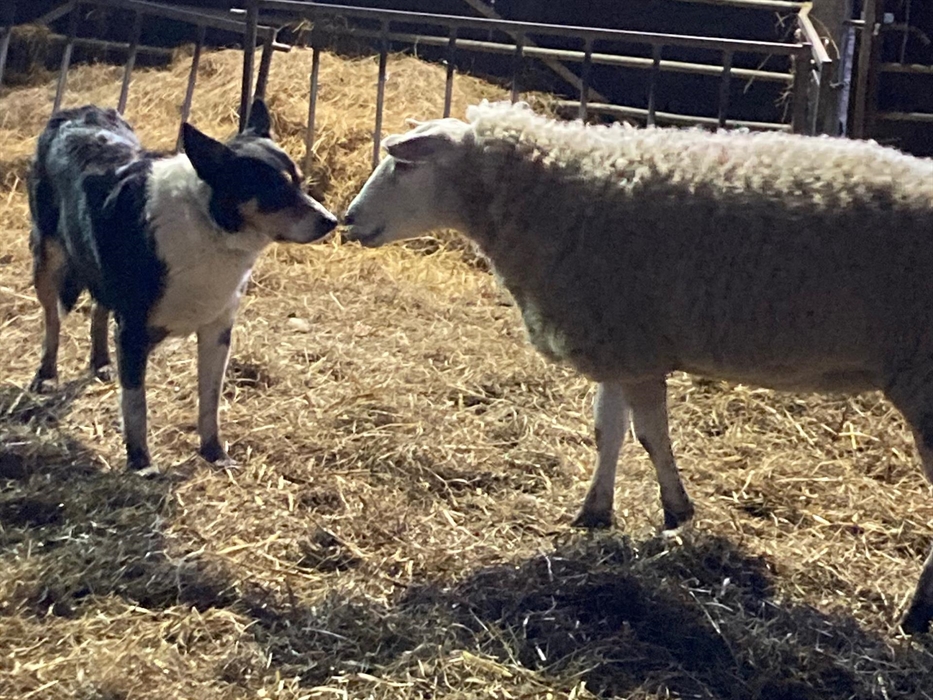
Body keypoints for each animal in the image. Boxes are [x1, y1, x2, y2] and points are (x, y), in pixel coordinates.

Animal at [342, 99, 933, 634]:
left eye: (404, 165)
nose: (348, 220)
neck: (554, 198)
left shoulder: (638, 347)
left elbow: (650, 435)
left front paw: (676, 512)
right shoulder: (616, 343)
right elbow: (608, 431)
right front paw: (595, 513)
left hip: (922, 378)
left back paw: (917, 614)